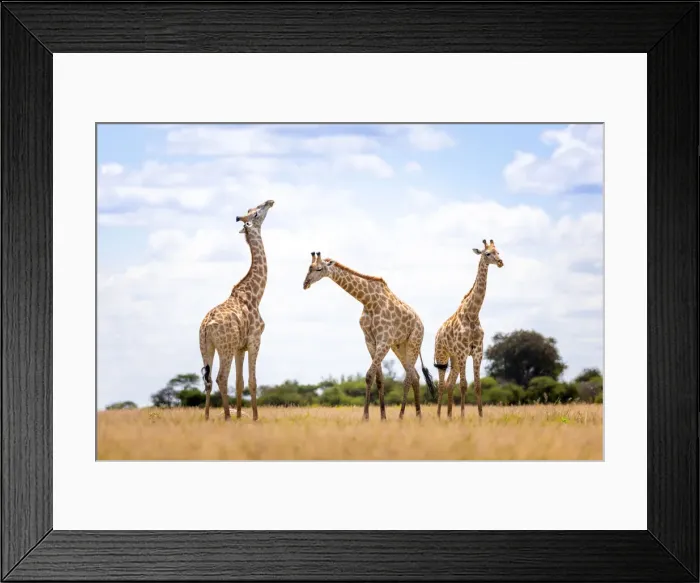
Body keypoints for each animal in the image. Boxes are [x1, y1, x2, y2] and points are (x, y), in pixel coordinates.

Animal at [198, 199, 275, 422]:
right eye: (255, 213)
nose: (270, 201)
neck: (255, 294)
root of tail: (206, 326)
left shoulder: (241, 346)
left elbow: (240, 383)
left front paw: (241, 416)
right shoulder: (254, 339)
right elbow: (252, 381)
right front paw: (255, 418)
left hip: (206, 346)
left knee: (207, 380)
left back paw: (207, 417)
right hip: (226, 347)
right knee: (220, 377)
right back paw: (226, 416)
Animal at [303, 252, 436, 421]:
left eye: (319, 269)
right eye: (309, 268)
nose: (305, 283)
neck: (368, 301)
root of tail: (421, 323)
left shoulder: (384, 340)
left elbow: (369, 375)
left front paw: (365, 417)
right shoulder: (370, 340)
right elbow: (378, 378)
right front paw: (382, 417)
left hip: (414, 341)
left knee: (408, 377)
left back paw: (401, 416)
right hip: (399, 346)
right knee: (415, 376)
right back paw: (418, 416)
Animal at [433, 239, 504, 419]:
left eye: (498, 251)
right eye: (487, 253)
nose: (501, 262)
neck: (473, 314)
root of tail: (437, 333)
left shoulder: (477, 351)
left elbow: (477, 386)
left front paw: (480, 417)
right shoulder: (463, 352)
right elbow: (464, 385)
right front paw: (463, 417)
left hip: (454, 359)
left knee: (450, 383)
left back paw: (449, 415)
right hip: (443, 355)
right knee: (441, 385)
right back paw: (439, 416)